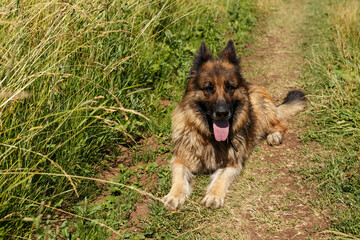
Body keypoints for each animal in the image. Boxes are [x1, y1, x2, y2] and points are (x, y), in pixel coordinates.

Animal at [163, 39, 306, 210]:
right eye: (208, 88)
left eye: (229, 87)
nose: (222, 112)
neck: (209, 137)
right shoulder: (181, 158)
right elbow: (179, 176)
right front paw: (174, 195)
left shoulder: (232, 163)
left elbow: (221, 179)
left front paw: (214, 195)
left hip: (260, 108)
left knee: (280, 123)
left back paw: (274, 136)